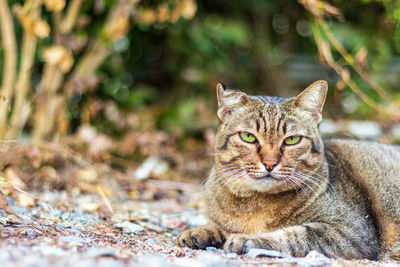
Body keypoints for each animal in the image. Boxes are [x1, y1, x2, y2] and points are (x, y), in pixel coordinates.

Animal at [177, 81, 400, 262]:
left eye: (292, 140)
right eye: (248, 137)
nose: (269, 163)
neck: (254, 205)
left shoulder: (352, 231)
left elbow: (295, 235)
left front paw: (248, 239)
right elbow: (218, 226)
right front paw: (200, 231)